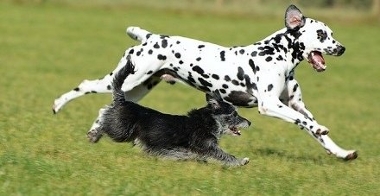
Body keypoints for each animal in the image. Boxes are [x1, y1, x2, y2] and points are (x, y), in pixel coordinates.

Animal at [52, 4, 356, 161]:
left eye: (331, 33)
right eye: (321, 34)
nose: (342, 48)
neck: (276, 55)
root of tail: (150, 36)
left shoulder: (295, 106)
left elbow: (317, 133)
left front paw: (342, 152)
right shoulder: (270, 105)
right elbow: (310, 124)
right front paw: (321, 128)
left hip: (136, 89)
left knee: (107, 106)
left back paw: (94, 132)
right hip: (126, 81)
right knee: (85, 86)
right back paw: (57, 104)